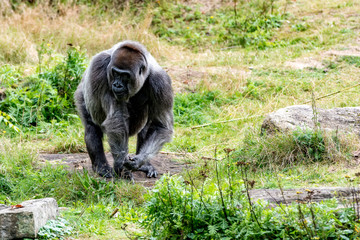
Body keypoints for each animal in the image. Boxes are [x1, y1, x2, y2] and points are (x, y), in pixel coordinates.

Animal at [74, 40, 173, 178]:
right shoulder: (99, 66)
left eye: (125, 75)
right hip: (81, 93)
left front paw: (139, 160)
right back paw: (101, 166)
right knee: (91, 126)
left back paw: (145, 165)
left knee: (146, 127)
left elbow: (161, 126)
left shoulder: (161, 82)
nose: (117, 85)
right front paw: (120, 163)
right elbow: (116, 120)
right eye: (115, 73)